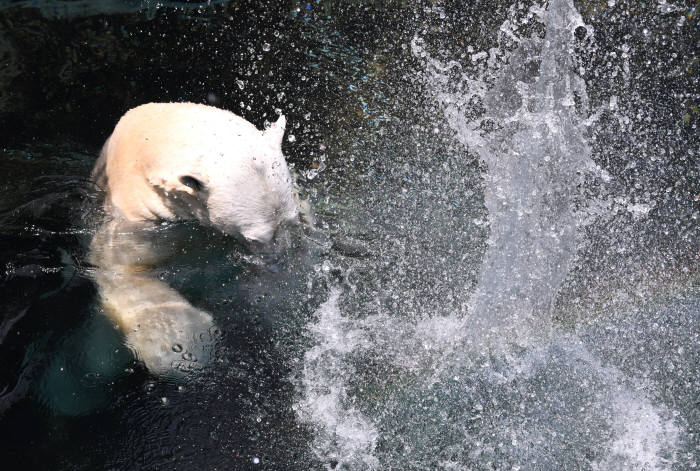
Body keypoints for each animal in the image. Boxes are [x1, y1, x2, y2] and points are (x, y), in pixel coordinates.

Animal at [89, 103, 300, 376]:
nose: (278, 264)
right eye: (256, 238)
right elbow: (123, 270)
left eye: (291, 223)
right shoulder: (136, 220)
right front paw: (191, 348)